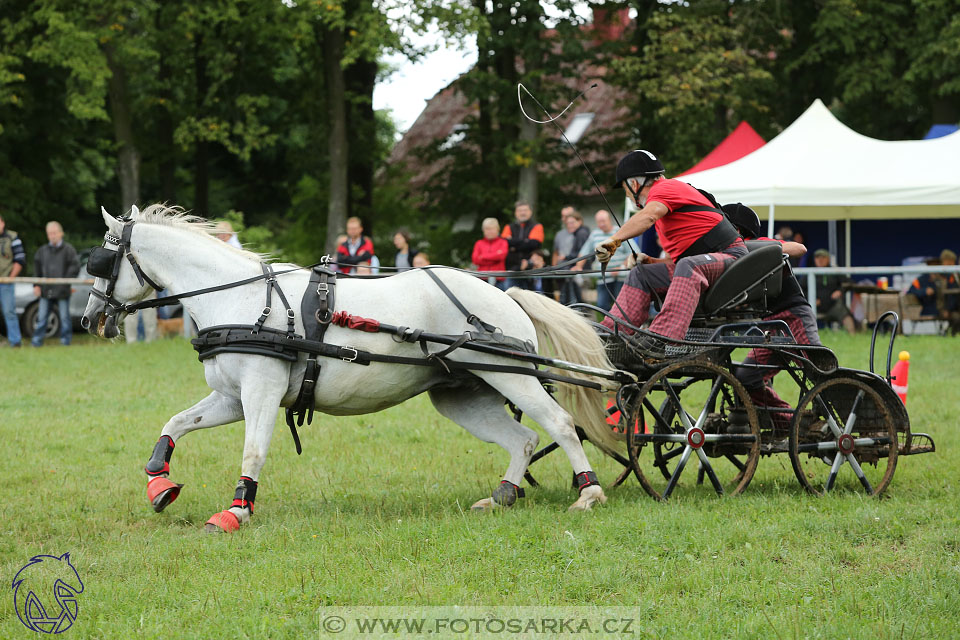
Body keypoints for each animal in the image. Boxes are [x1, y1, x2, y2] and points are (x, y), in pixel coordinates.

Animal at [82, 205, 624, 528]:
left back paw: (590, 493)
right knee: (523, 439)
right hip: (460, 394)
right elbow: (174, 424)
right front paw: (159, 484)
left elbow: (253, 452)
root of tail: (505, 293)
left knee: (559, 424)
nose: (90, 319)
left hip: (511, 374)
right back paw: (503, 495)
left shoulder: (260, 392)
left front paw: (236, 510)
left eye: (101, 262)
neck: (238, 299)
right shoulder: (231, 397)